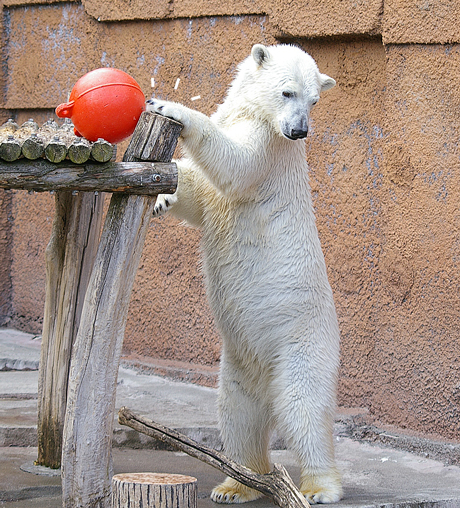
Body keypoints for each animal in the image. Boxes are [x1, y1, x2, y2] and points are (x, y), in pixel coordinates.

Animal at [147, 44, 342, 504]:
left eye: (315, 101)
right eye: (288, 92)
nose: (300, 131)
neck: (263, 118)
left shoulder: (270, 150)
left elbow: (235, 166)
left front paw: (169, 107)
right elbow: (204, 200)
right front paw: (164, 196)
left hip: (301, 342)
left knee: (303, 407)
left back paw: (319, 487)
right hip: (239, 362)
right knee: (238, 413)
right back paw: (237, 483)